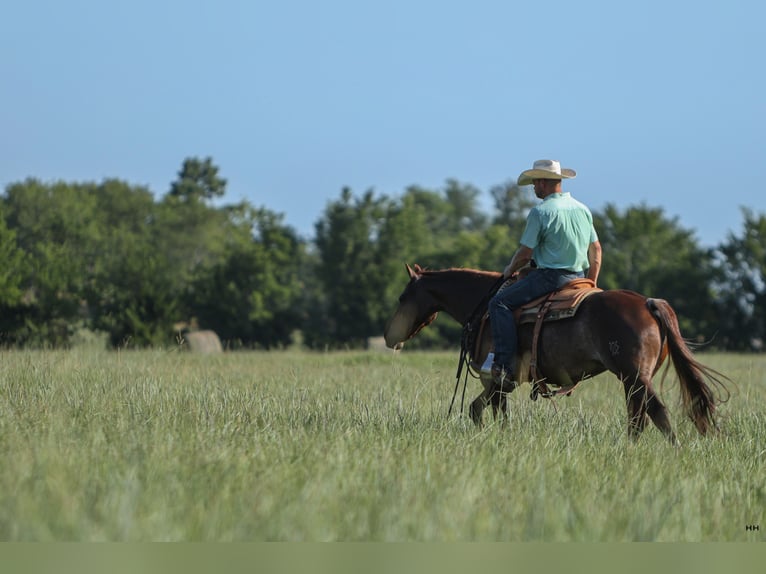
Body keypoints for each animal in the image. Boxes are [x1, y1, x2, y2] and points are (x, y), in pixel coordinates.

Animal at [384, 266, 732, 446]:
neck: (485, 307)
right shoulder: (497, 382)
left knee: (656, 412)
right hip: (631, 380)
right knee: (638, 417)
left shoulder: (495, 378)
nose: (389, 337)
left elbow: (497, 413)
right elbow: (475, 409)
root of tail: (647, 303)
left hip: (634, 375)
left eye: (402, 296)